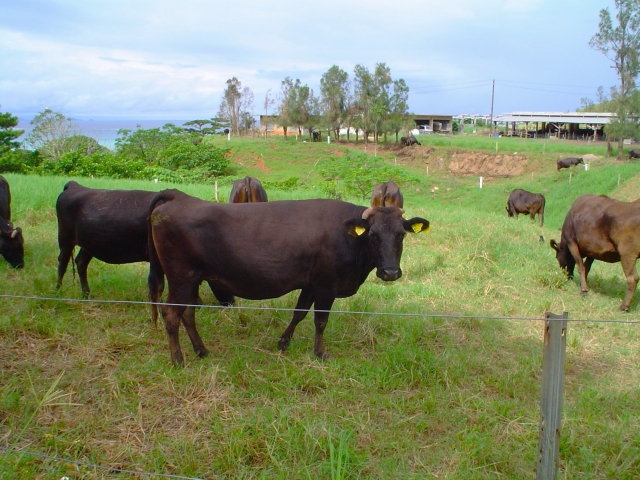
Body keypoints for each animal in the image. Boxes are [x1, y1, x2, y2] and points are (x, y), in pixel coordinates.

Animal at [148, 188, 430, 364]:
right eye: (372, 235)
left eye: (401, 235)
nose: (390, 272)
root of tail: (178, 197)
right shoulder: (327, 285)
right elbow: (320, 321)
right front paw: (320, 353)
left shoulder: (311, 284)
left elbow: (299, 313)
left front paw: (283, 342)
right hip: (181, 277)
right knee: (171, 314)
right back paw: (178, 359)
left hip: (191, 280)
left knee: (187, 313)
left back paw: (201, 350)